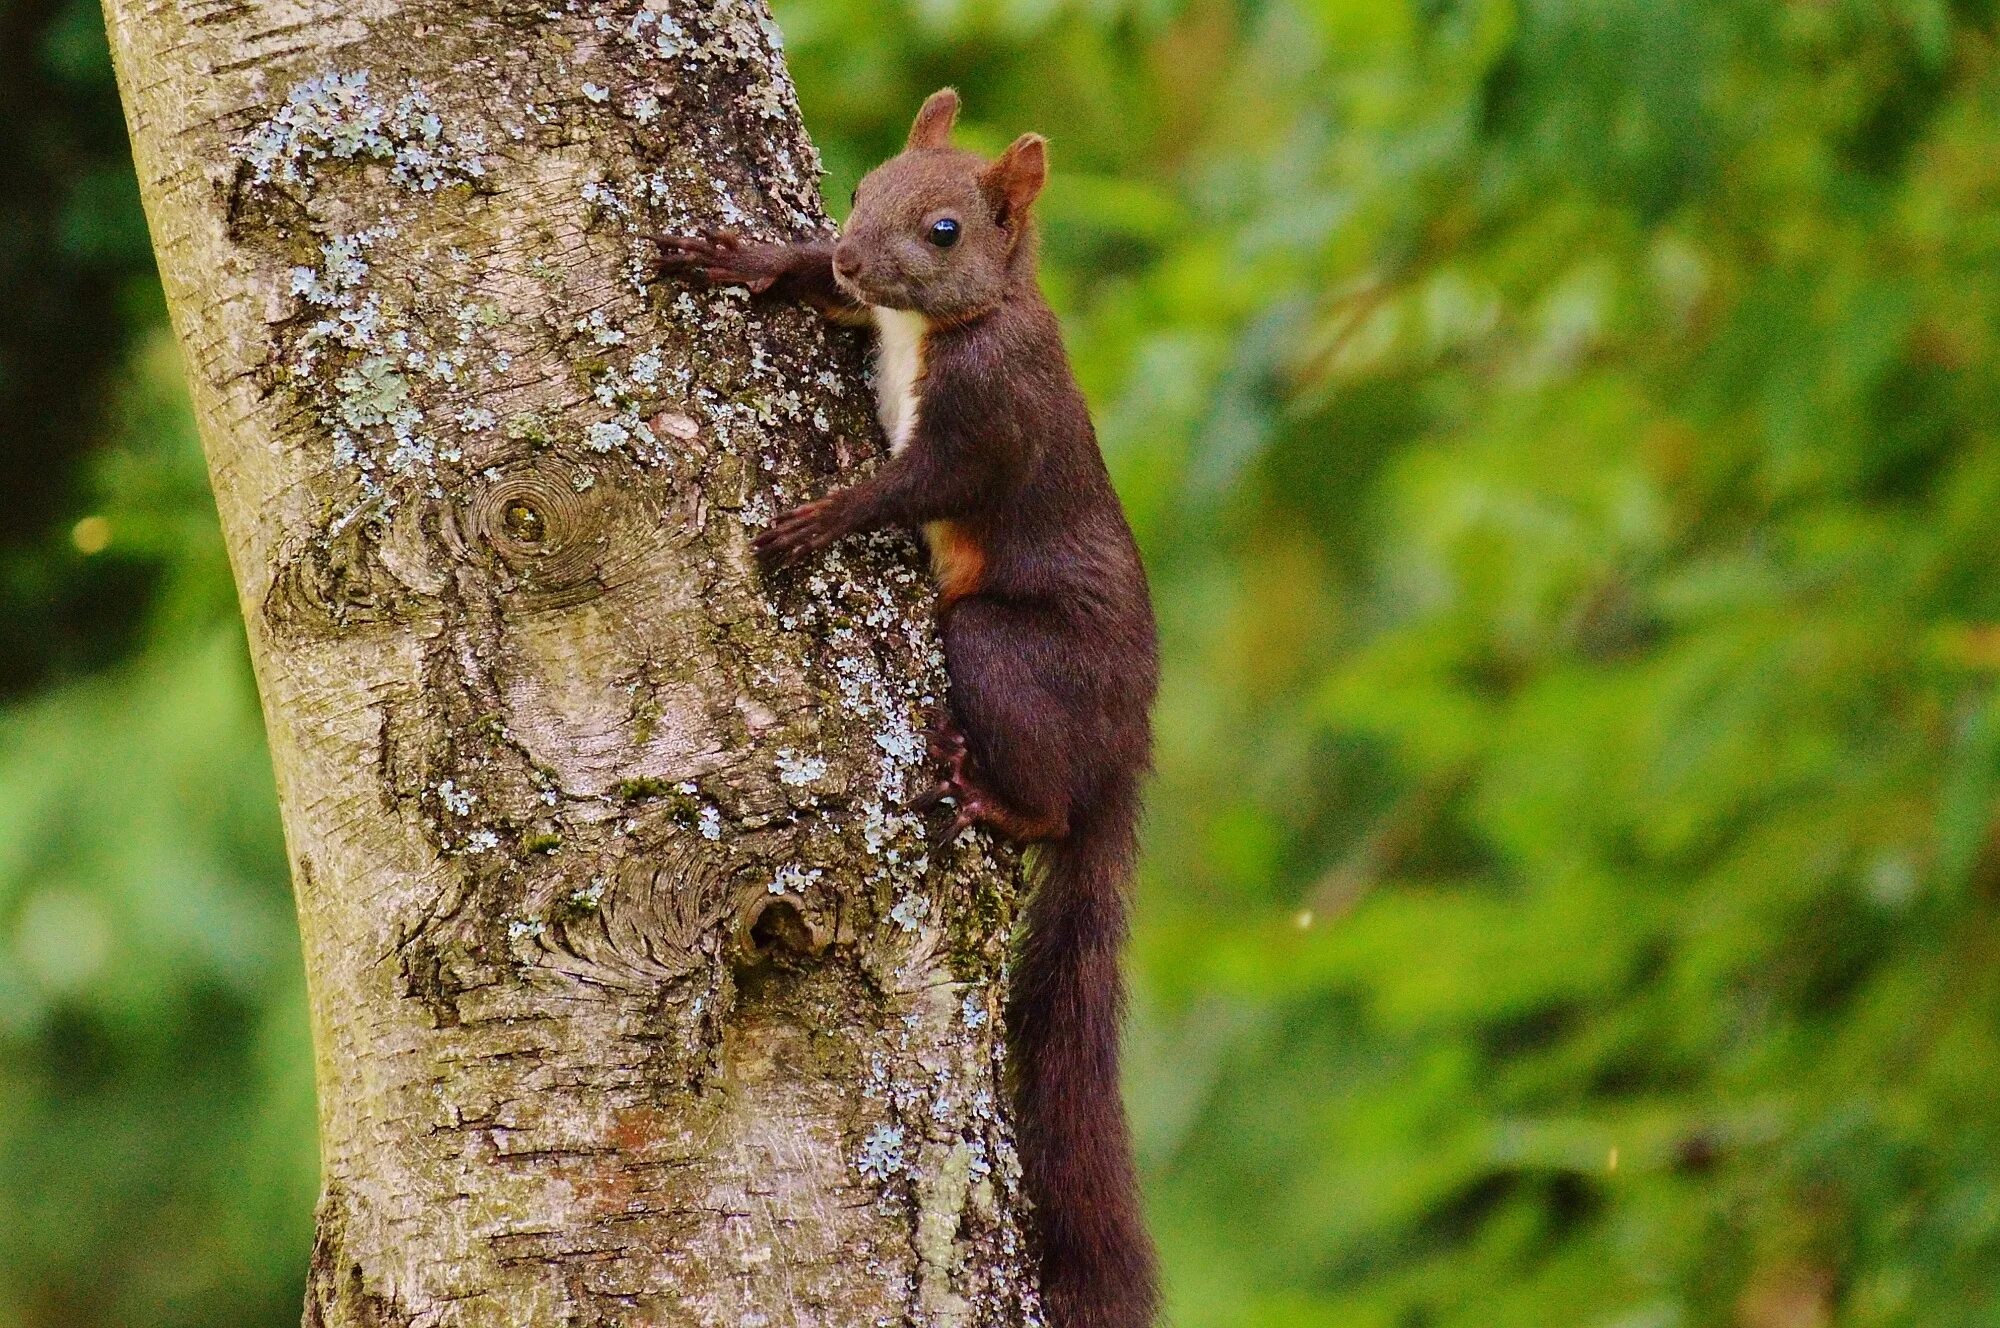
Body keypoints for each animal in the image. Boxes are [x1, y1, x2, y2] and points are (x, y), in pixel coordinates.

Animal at [656, 91, 1160, 1328]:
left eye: (943, 230)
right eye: (861, 185)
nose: (848, 247)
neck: (943, 324)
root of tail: (1128, 741)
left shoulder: (987, 416)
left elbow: (919, 483)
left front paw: (820, 518)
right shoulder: (864, 312)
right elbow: (818, 295)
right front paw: (752, 256)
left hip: (1006, 657)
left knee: (1047, 802)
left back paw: (994, 793)